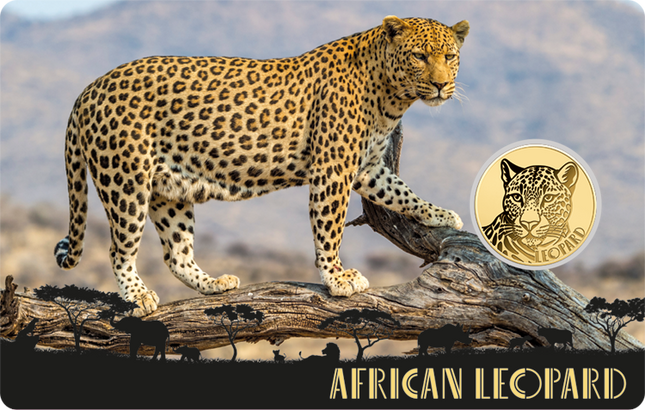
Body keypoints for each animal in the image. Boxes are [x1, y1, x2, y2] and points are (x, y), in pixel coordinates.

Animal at [54, 16, 469, 317]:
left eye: (449, 57)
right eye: (419, 56)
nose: (440, 85)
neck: (391, 97)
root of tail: (87, 90)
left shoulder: (366, 167)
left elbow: (401, 192)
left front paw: (441, 214)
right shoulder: (333, 169)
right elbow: (329, 228)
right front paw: (336, 278)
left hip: (169, 190)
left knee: (176, 254)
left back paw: (213, 284)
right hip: (125, 182)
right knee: (119, 250)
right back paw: (138, 296)